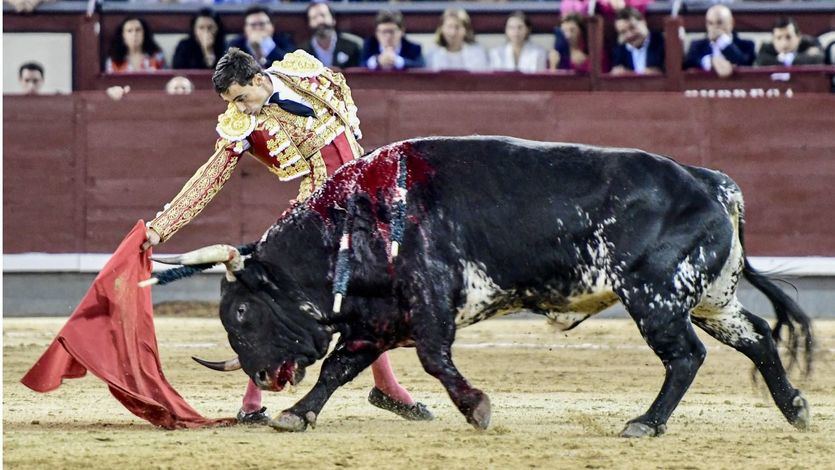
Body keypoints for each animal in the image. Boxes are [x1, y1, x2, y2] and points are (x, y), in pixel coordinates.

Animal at [150, 136, 808, 436]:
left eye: (240, 314)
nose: (262, 377)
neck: (355, 222)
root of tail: (710, 182)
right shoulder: (378, 319)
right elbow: (340, 367)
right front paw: (296, 414)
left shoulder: (430, 302)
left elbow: (436, 361)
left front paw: (477, 408)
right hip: (711, 297)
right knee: (757, 338)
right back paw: (796, 409)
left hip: (657, 297)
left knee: (686, 357)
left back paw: (644, 423)